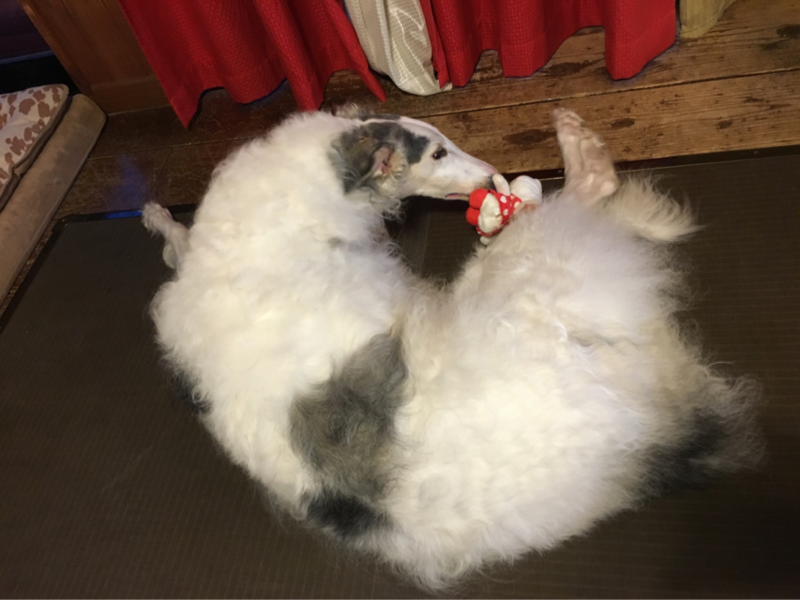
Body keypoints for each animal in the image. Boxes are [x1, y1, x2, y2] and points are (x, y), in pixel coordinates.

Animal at [143, 107, 762, 589]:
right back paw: (581, 155)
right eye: (438, 152)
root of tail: (667, 433)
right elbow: (179, 245)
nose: (492, 174)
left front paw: (158, 217)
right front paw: (160, 219)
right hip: (523, 277)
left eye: (443, 136)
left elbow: (178, 244)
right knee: (584, 199)